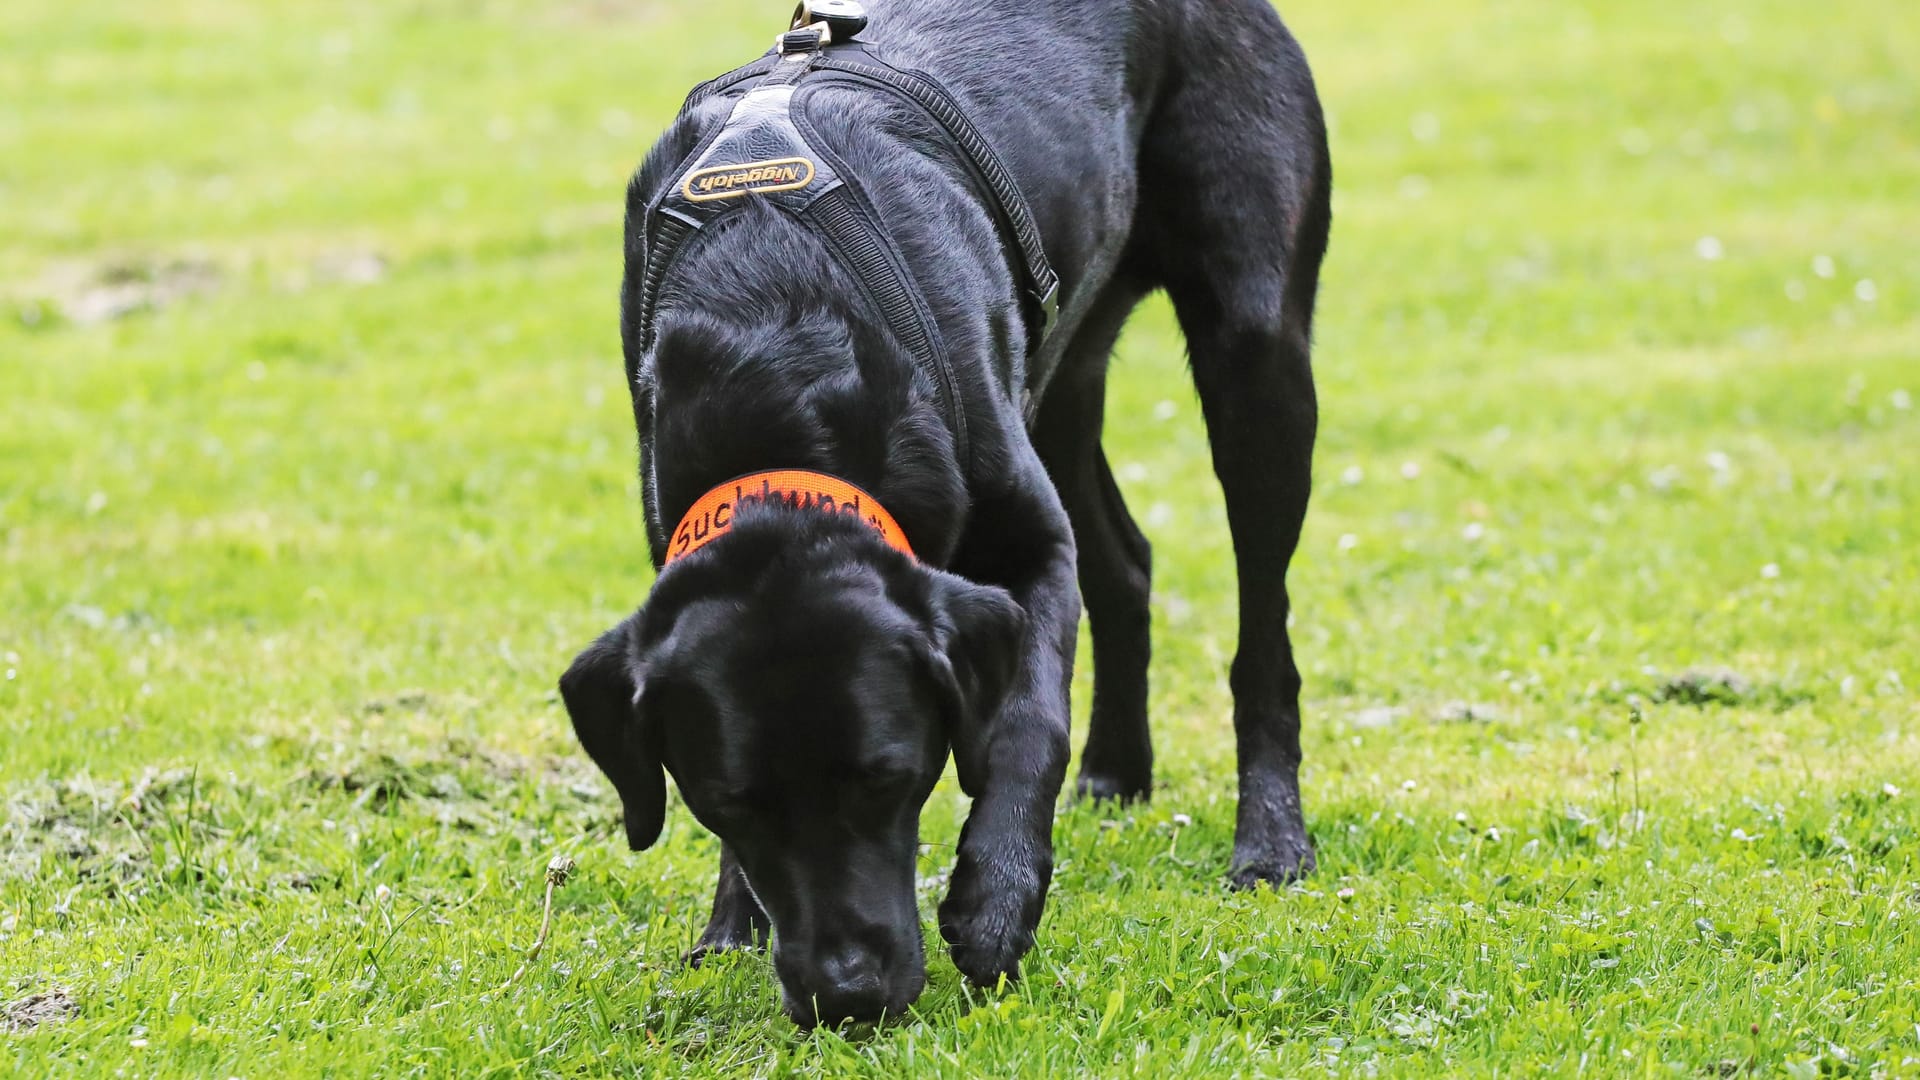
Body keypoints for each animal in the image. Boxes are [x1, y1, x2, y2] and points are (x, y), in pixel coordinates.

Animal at [560, 0, 1328, 1022]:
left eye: (889, 777)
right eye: (726, 804)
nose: (847, 996)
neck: (777, 327)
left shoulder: (1030, 552)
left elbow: (1027, 722)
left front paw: (997, 902)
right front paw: (731, 923)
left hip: (1254, 351)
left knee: (1263, 635)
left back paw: (1271, 841)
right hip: (1063, 377)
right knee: (1125, 561)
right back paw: (1118, 771)